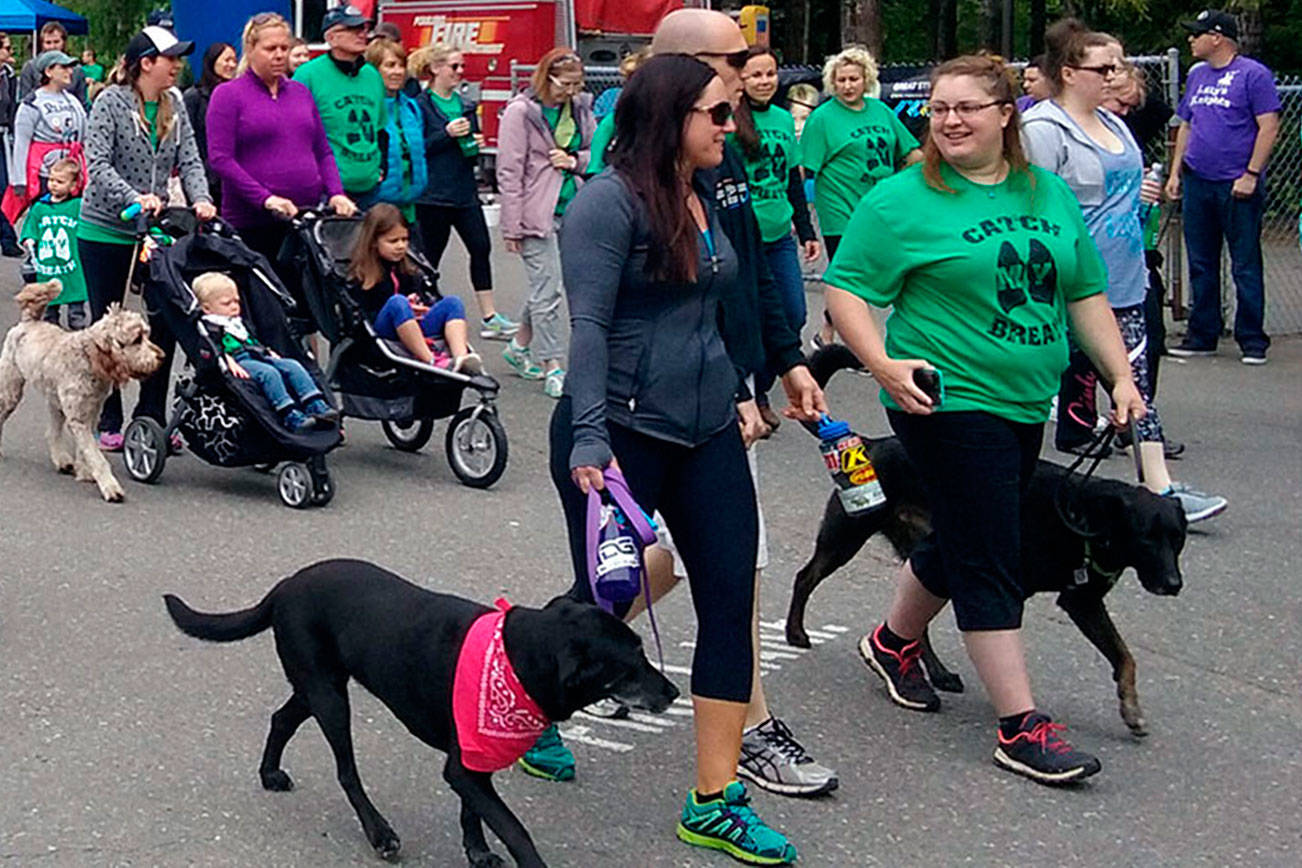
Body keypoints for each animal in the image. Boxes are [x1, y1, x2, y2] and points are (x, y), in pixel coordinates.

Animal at [0, 283, 165, 502]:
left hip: (55, 401)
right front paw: (109, 486)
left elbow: (85, 449)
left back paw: (63, 461)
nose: (161, 357)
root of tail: (29, 322)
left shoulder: (91, 412)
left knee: (52, 432)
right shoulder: (79, 418)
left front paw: (85, 472)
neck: (90, 358)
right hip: (11, 390)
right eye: (137, 339)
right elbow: (96, 455)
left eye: (146, 335)